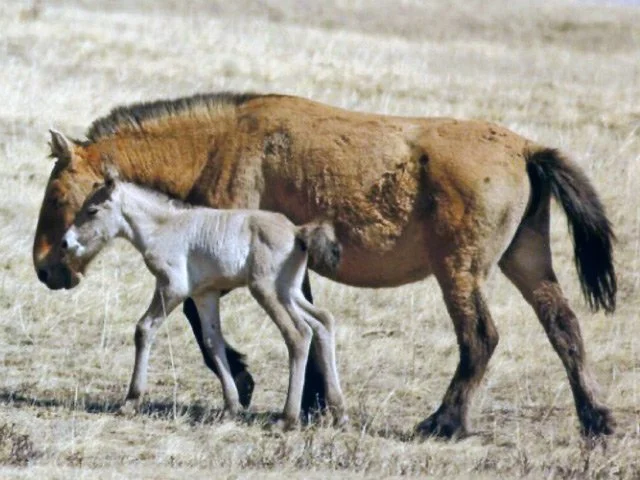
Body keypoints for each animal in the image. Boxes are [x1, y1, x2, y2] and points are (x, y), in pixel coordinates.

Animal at [61, 166, 347, 428]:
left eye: (92, 211)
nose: (65, 243)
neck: (162, 226)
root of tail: (297, 231)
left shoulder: (172, 287)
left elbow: (144, 328)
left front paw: (131, 401)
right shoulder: (204, 294)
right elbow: (213, 341)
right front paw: (231, 407)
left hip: (266, 290)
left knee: (298, 334)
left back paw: (287, 418)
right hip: (289, 291)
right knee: (322, 321)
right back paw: (338, 412)